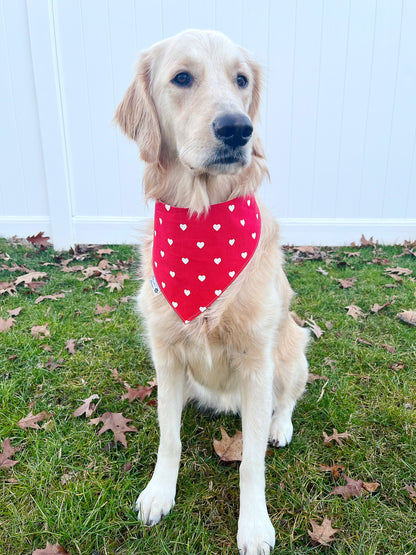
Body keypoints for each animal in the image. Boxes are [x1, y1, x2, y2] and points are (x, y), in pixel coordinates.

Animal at [114, 30, 308, 555]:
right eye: (182, 77)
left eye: (241, 80)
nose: (239, 129)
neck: (202, 225)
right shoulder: (165, 353)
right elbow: (169, 438)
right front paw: (160, 492)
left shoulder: (257, 362)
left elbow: (251, 462)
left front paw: (254, 524)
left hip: (293, 349)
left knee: (289, 398)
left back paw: (280, 426)